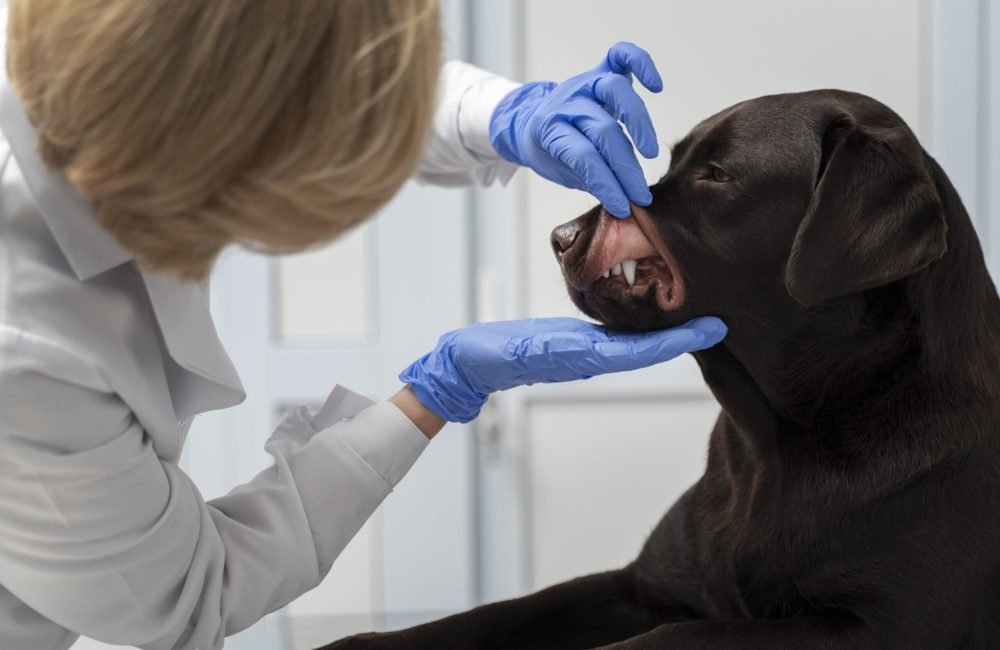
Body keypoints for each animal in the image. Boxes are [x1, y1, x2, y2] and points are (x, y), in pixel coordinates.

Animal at [320, 91, 1000, 648]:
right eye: (671, 163)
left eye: (717, 175)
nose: (561, 236)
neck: (772, 443)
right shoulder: (642, 585)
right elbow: (499, 613)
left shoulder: (876, 627)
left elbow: (671, 638)